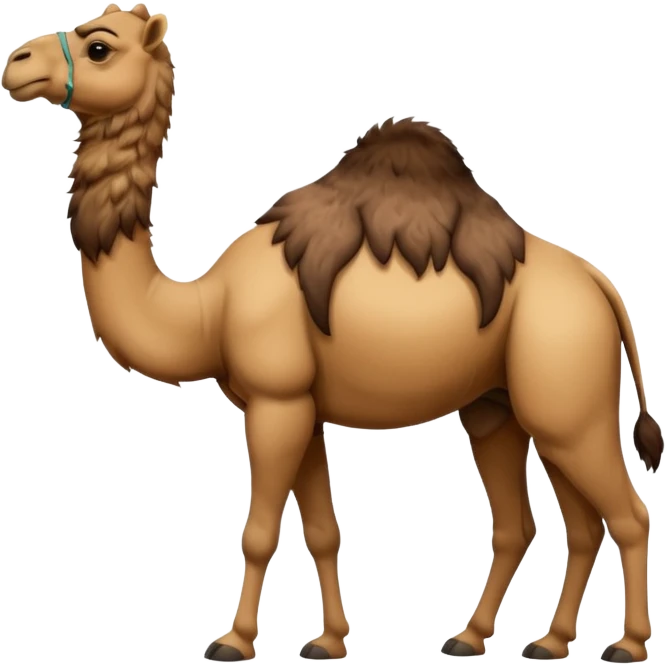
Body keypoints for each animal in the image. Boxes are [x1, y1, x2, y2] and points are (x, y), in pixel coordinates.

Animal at [2, 6, 662, 663]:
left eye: (99, 47)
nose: (17, 63)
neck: (208, 307)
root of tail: (601, 287)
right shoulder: (302, 406)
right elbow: (322, 529)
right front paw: (327, 641)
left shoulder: (277, 401)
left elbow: (258, 531)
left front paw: (234, 641)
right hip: (502, 406)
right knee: (548, 521)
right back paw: (511, 639)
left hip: (566, 394)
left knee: (626, 513)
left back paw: (626, 644)